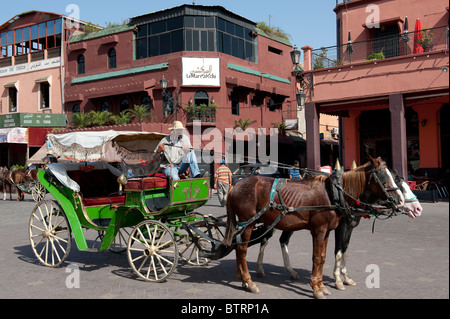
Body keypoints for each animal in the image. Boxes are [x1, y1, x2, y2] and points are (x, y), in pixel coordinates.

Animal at [225, 158, 404, 300]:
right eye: (384, 177)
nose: (400, 200)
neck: (333, 194)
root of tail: (236, 183)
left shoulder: (328, 231)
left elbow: (324, 257)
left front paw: (322, 286)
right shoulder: (319, 230)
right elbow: (317, 258)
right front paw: (317, 288)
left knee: (243, 246)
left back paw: (243, 279)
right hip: (248, 222)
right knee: (242, 248)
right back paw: (249, 282)